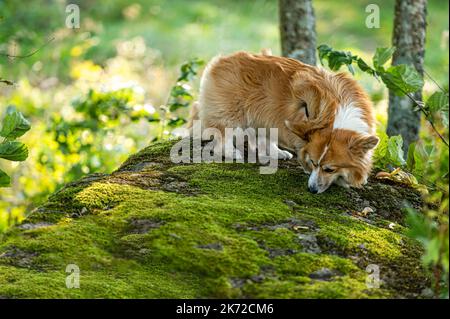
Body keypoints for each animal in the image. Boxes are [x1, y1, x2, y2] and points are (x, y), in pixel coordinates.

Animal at [190, 51, 380, 194]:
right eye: (313, 163)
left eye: (329, 169)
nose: (311, 190)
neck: (335, 118)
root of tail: (220, 60)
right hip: (231, 114)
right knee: (223, 136)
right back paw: (232, 153)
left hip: (265, 118)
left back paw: (277, 153)